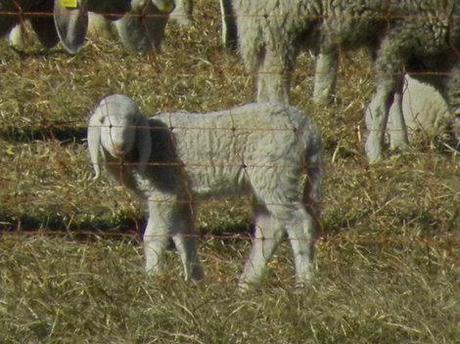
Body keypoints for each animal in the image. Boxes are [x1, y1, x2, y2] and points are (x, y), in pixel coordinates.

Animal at [87, 93, 324, 288]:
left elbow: (153, 236)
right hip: (266, 179)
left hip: (276, 171)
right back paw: (247, 284)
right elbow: (185, 238)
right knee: (270, 228)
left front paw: (152, 279)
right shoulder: (183, 196)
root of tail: (308, 129)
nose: (119, 145)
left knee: (300, 224)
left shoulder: (165, 191)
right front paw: (195, 281)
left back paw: (303, 284)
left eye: (134, 122)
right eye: (103, 122)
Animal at [234, 0, 460, 163]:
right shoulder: (400, 34)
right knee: (276, 83)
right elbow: (385, 98)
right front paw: (376, 152)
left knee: (264, 84)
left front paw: (400, 144)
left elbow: (397, 94)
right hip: (281, 19)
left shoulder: (384, 38)